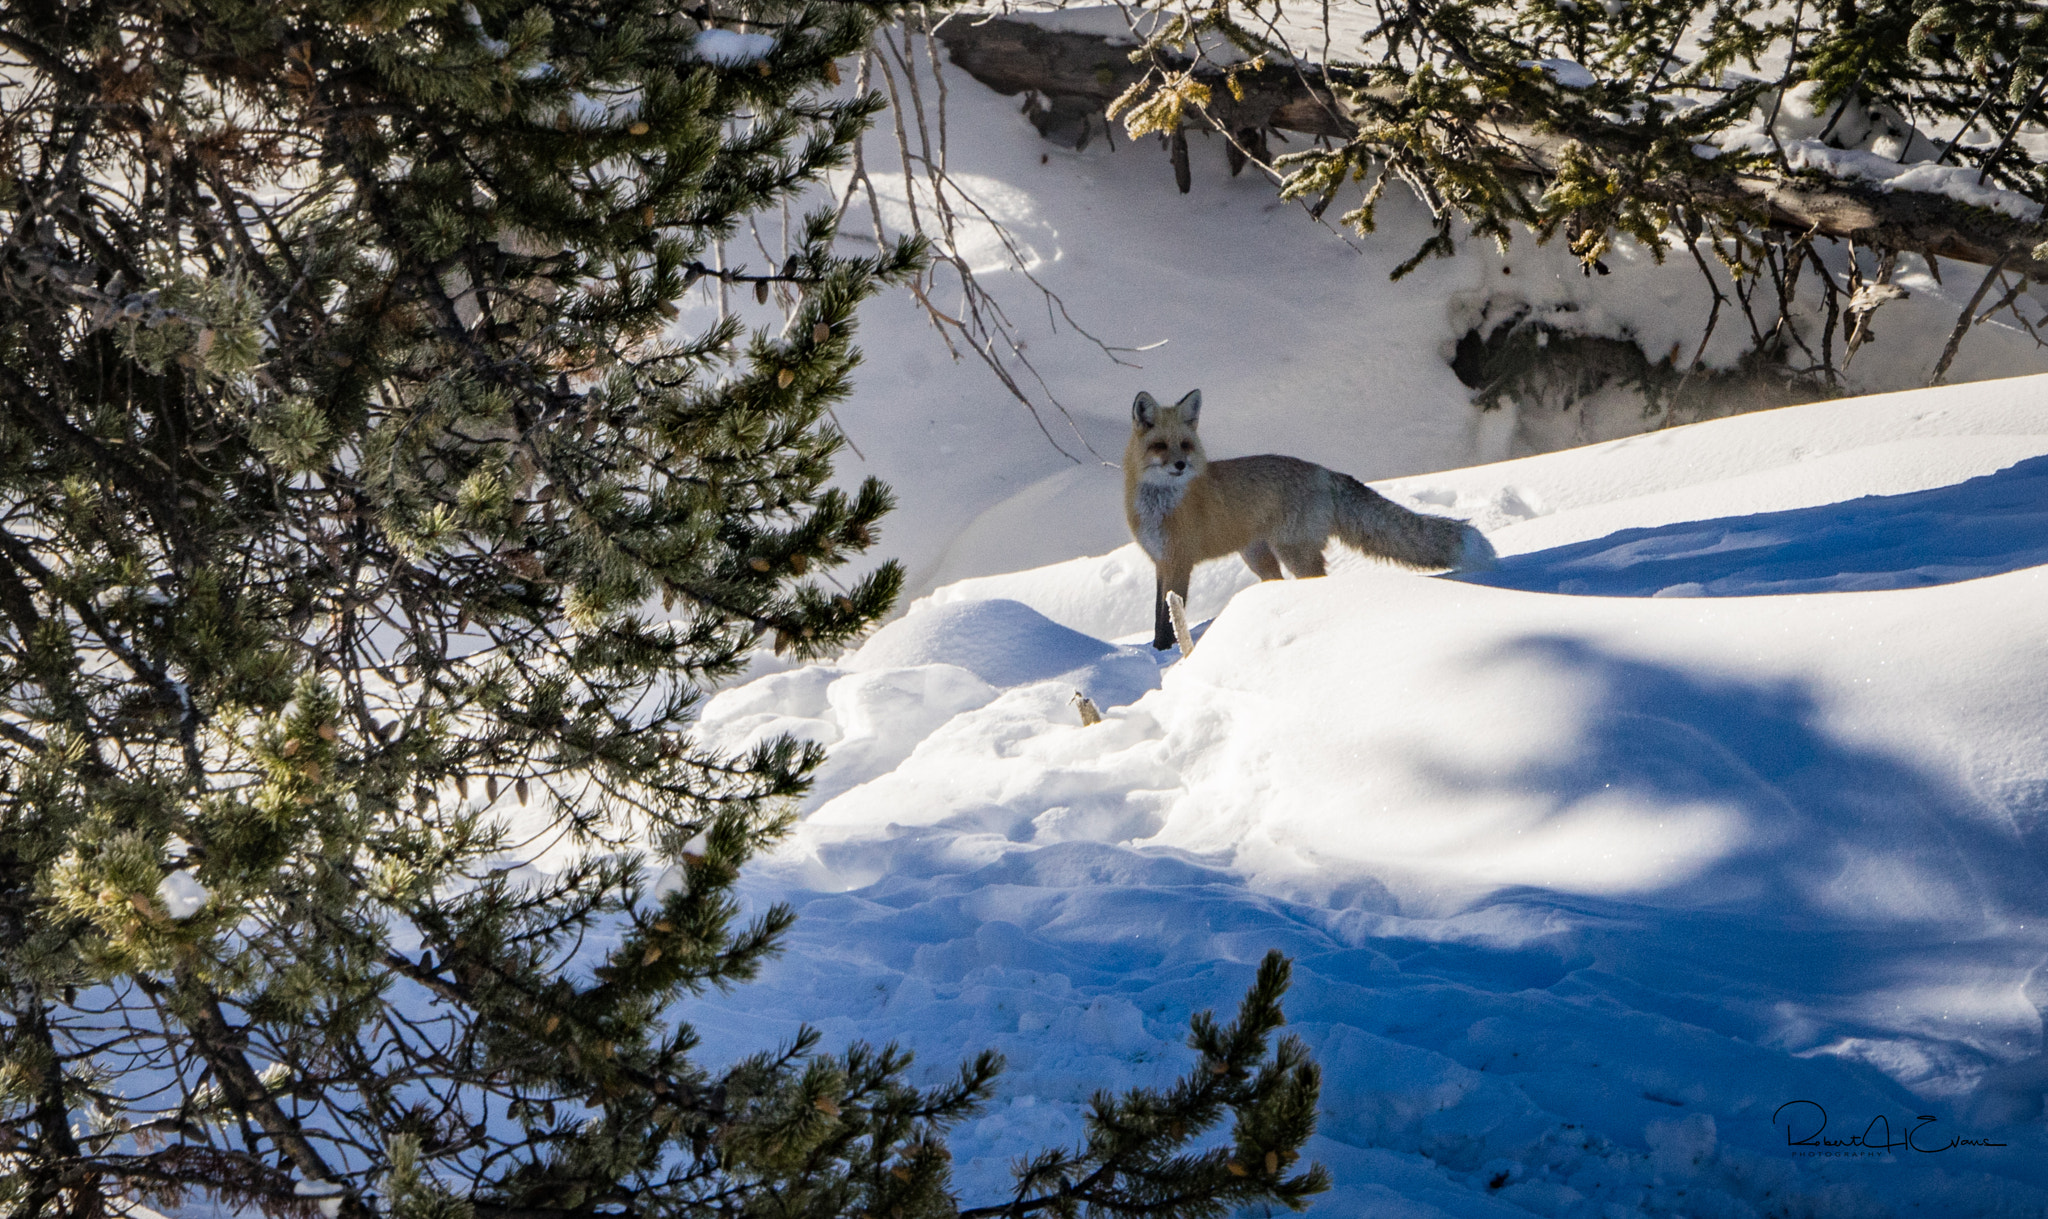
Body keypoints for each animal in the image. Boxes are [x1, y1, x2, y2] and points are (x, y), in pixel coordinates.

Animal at [1130, 395, 1499, 651]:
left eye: (1186, 445)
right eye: (1160, 446)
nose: (1180, 465)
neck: (1161, 505)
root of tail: (1323, 470)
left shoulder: (1180, 561)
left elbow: (1168, 619)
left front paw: (1163, 652)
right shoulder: (1162, 561)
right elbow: (1158, 614)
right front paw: (1156, 649)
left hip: (1292, 552)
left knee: (1316, 582)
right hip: (1259, 556)